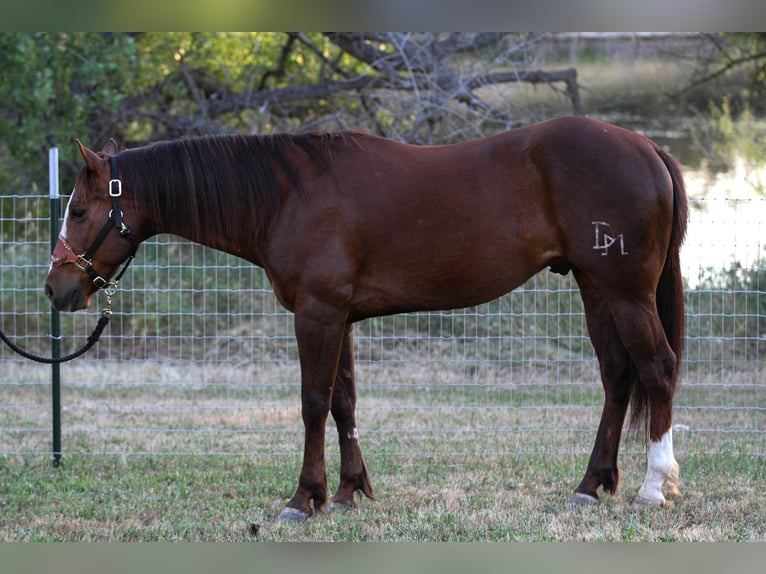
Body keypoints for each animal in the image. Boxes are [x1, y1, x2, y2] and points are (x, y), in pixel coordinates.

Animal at [43, 117, 688, 520]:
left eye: (79, 210)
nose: (56, 289)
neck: (289, 196)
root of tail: (645, 147)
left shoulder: (318, 315)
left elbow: (312, 403)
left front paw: (304, 498)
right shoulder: (341, 317)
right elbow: (344, 402)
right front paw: (350, 491)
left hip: (625, 291)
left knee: (657, 369)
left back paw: (655, 488)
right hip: (595, 288)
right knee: (617, 377)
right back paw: (590, 486)